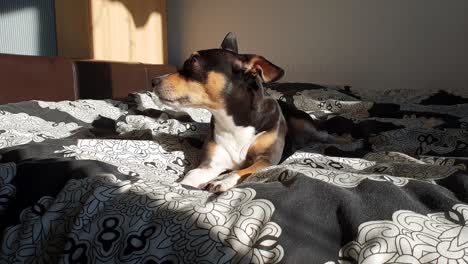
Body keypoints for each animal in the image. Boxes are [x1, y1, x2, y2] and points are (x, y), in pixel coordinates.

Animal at [152, 32, 350, 192]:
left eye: (191, 64)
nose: (153, 81)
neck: (233, 122)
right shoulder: (210, 165)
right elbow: (191, 175)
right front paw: (177, 187)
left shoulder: (267, 159)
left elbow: (242, 171)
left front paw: (223, 181)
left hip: (304, 124)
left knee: (324, 134)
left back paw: (345, 141)